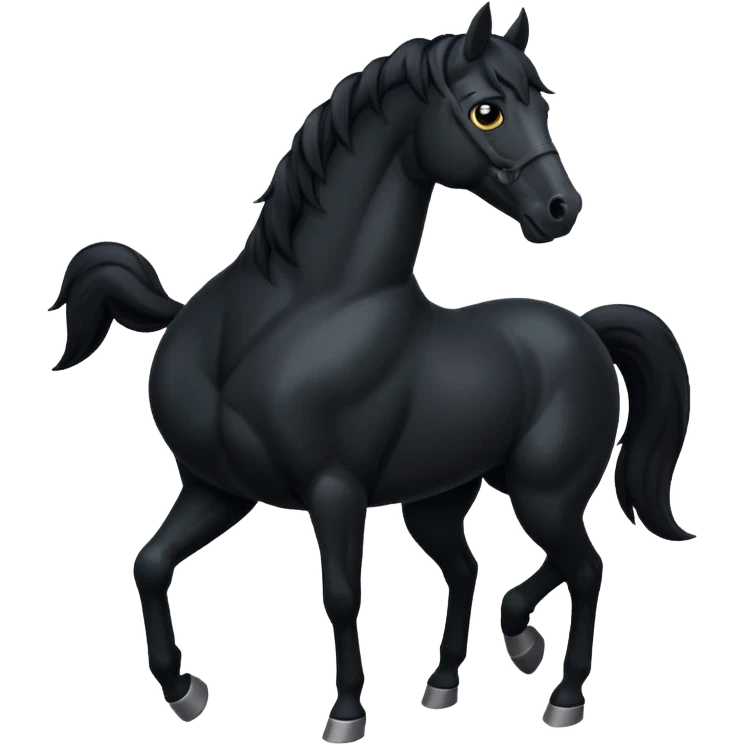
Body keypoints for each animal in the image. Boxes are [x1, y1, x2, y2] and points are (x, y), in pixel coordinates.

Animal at [48, 4, 693, 741]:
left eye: (545, 104)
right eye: (489, 111)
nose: (562, 210)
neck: (289, 319)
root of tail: (587, 329)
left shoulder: (335, 490)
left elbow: (339, 593)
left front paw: (346, 712)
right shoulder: (215, 488)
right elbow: (150, 565)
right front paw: (184, 690)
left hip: (544, 492)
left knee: (584, 567)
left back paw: (561, 693)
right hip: (443, 499)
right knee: (475, 568)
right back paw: (459, 674)